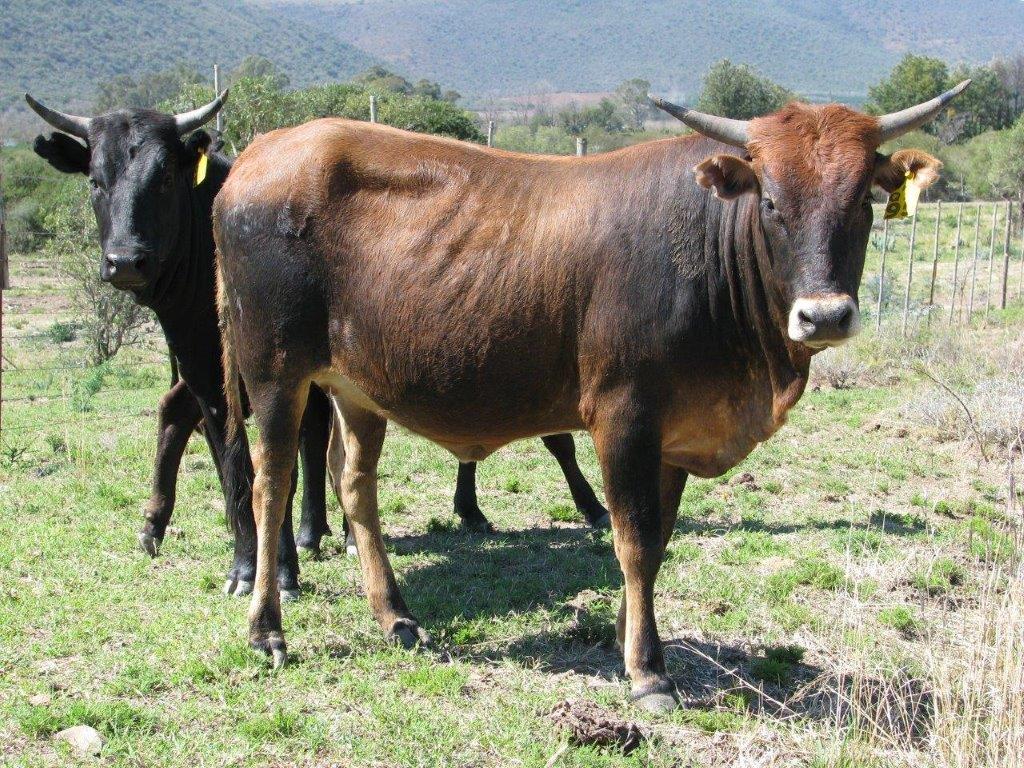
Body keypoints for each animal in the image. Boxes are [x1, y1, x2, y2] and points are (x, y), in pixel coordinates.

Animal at [24, 94, 608, 577]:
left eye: (163, 177)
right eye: (95, 181)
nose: (126, 260)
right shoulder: (216, 383)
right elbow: (240, 470)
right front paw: (253, 563)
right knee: (197, 420)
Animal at [213, 78, 967, 711]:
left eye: (862, 200)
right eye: (774, 203)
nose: (825, 316)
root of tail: (259, 152)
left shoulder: (674, 434)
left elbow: (657, 542)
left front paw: (625, 635)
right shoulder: (623, 416)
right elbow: (630, 538)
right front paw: (648, 672)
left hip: (359, 388)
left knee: (354, 483)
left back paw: (395, 616)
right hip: (275, 373)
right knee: (271, 482)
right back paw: (266, 629)